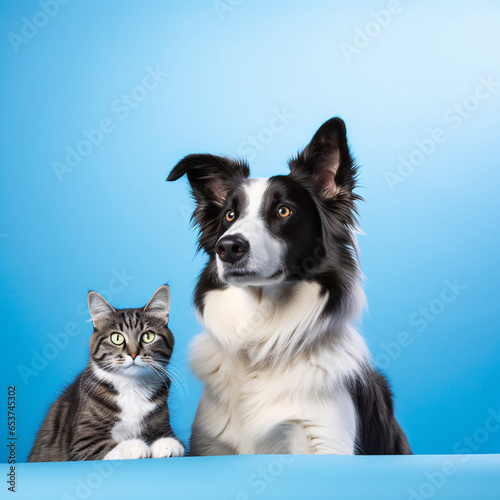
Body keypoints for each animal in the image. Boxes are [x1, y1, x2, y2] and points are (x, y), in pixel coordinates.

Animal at [27, 286, 184, 460]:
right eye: (117, 338)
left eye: (148, 336)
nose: (133, 354)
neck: (131, 387)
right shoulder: (83, 442)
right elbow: (108, 446)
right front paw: (137, 446)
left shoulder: (162, 424)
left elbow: (170, 438)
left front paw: (167, 445)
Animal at [167, 118, 410, 458]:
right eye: (230, 215)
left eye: (284, 211)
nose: (227, 247)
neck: (260, 343)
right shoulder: (210, 444)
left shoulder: (326, 440)